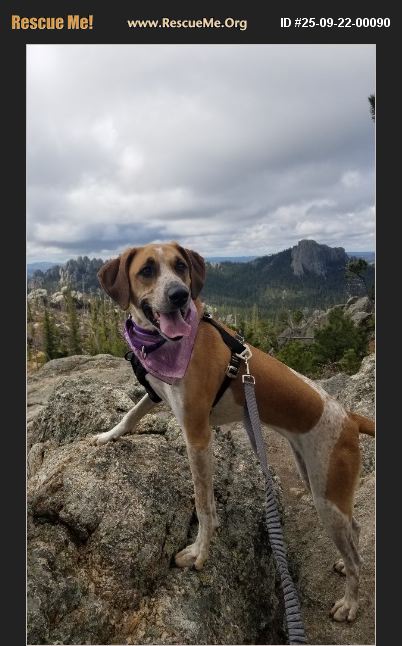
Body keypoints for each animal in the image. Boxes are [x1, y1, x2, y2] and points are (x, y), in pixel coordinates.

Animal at [92, 241, 375, 623]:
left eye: (180, 266)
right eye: (147, 270)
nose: (180, 295)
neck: (166, 343)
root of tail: (350, 416)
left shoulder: (197, 435)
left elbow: (203, 504)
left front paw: (199, 552)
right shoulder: (156, 393)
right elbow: (131, 415)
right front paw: (108, 436)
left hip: (327, 496)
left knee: (358, 559)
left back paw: (350, 602)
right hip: (318, 480)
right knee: (354, 529)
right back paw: (343, 566)